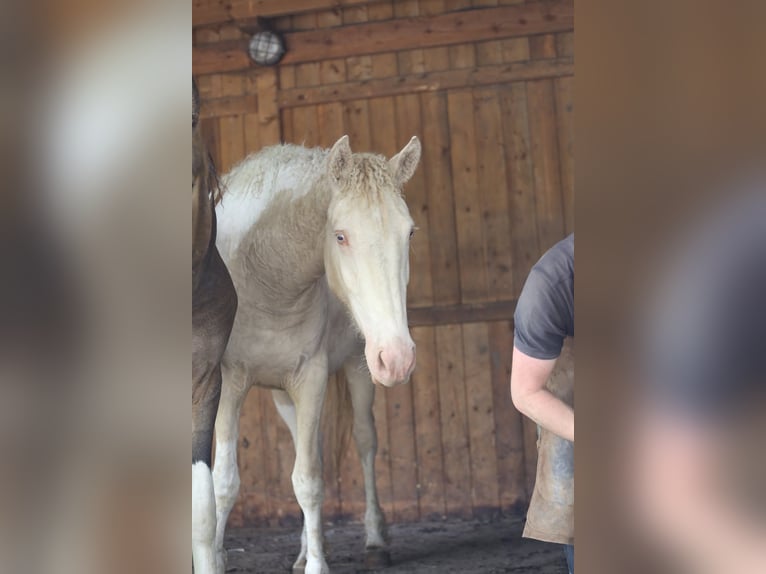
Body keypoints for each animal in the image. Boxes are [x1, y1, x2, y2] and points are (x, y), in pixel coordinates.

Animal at [212, 134, 422, 574]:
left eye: (409, 233)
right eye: (340, 236)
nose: (398, 358)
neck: (265, 280)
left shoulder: (311, 379)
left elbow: (308, 480)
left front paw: (317, 564)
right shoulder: (229, 381)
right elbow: (224, 481)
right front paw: (215, 557)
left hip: (358, 367)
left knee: (364, 442)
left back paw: (373, 540)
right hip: (282, 394)